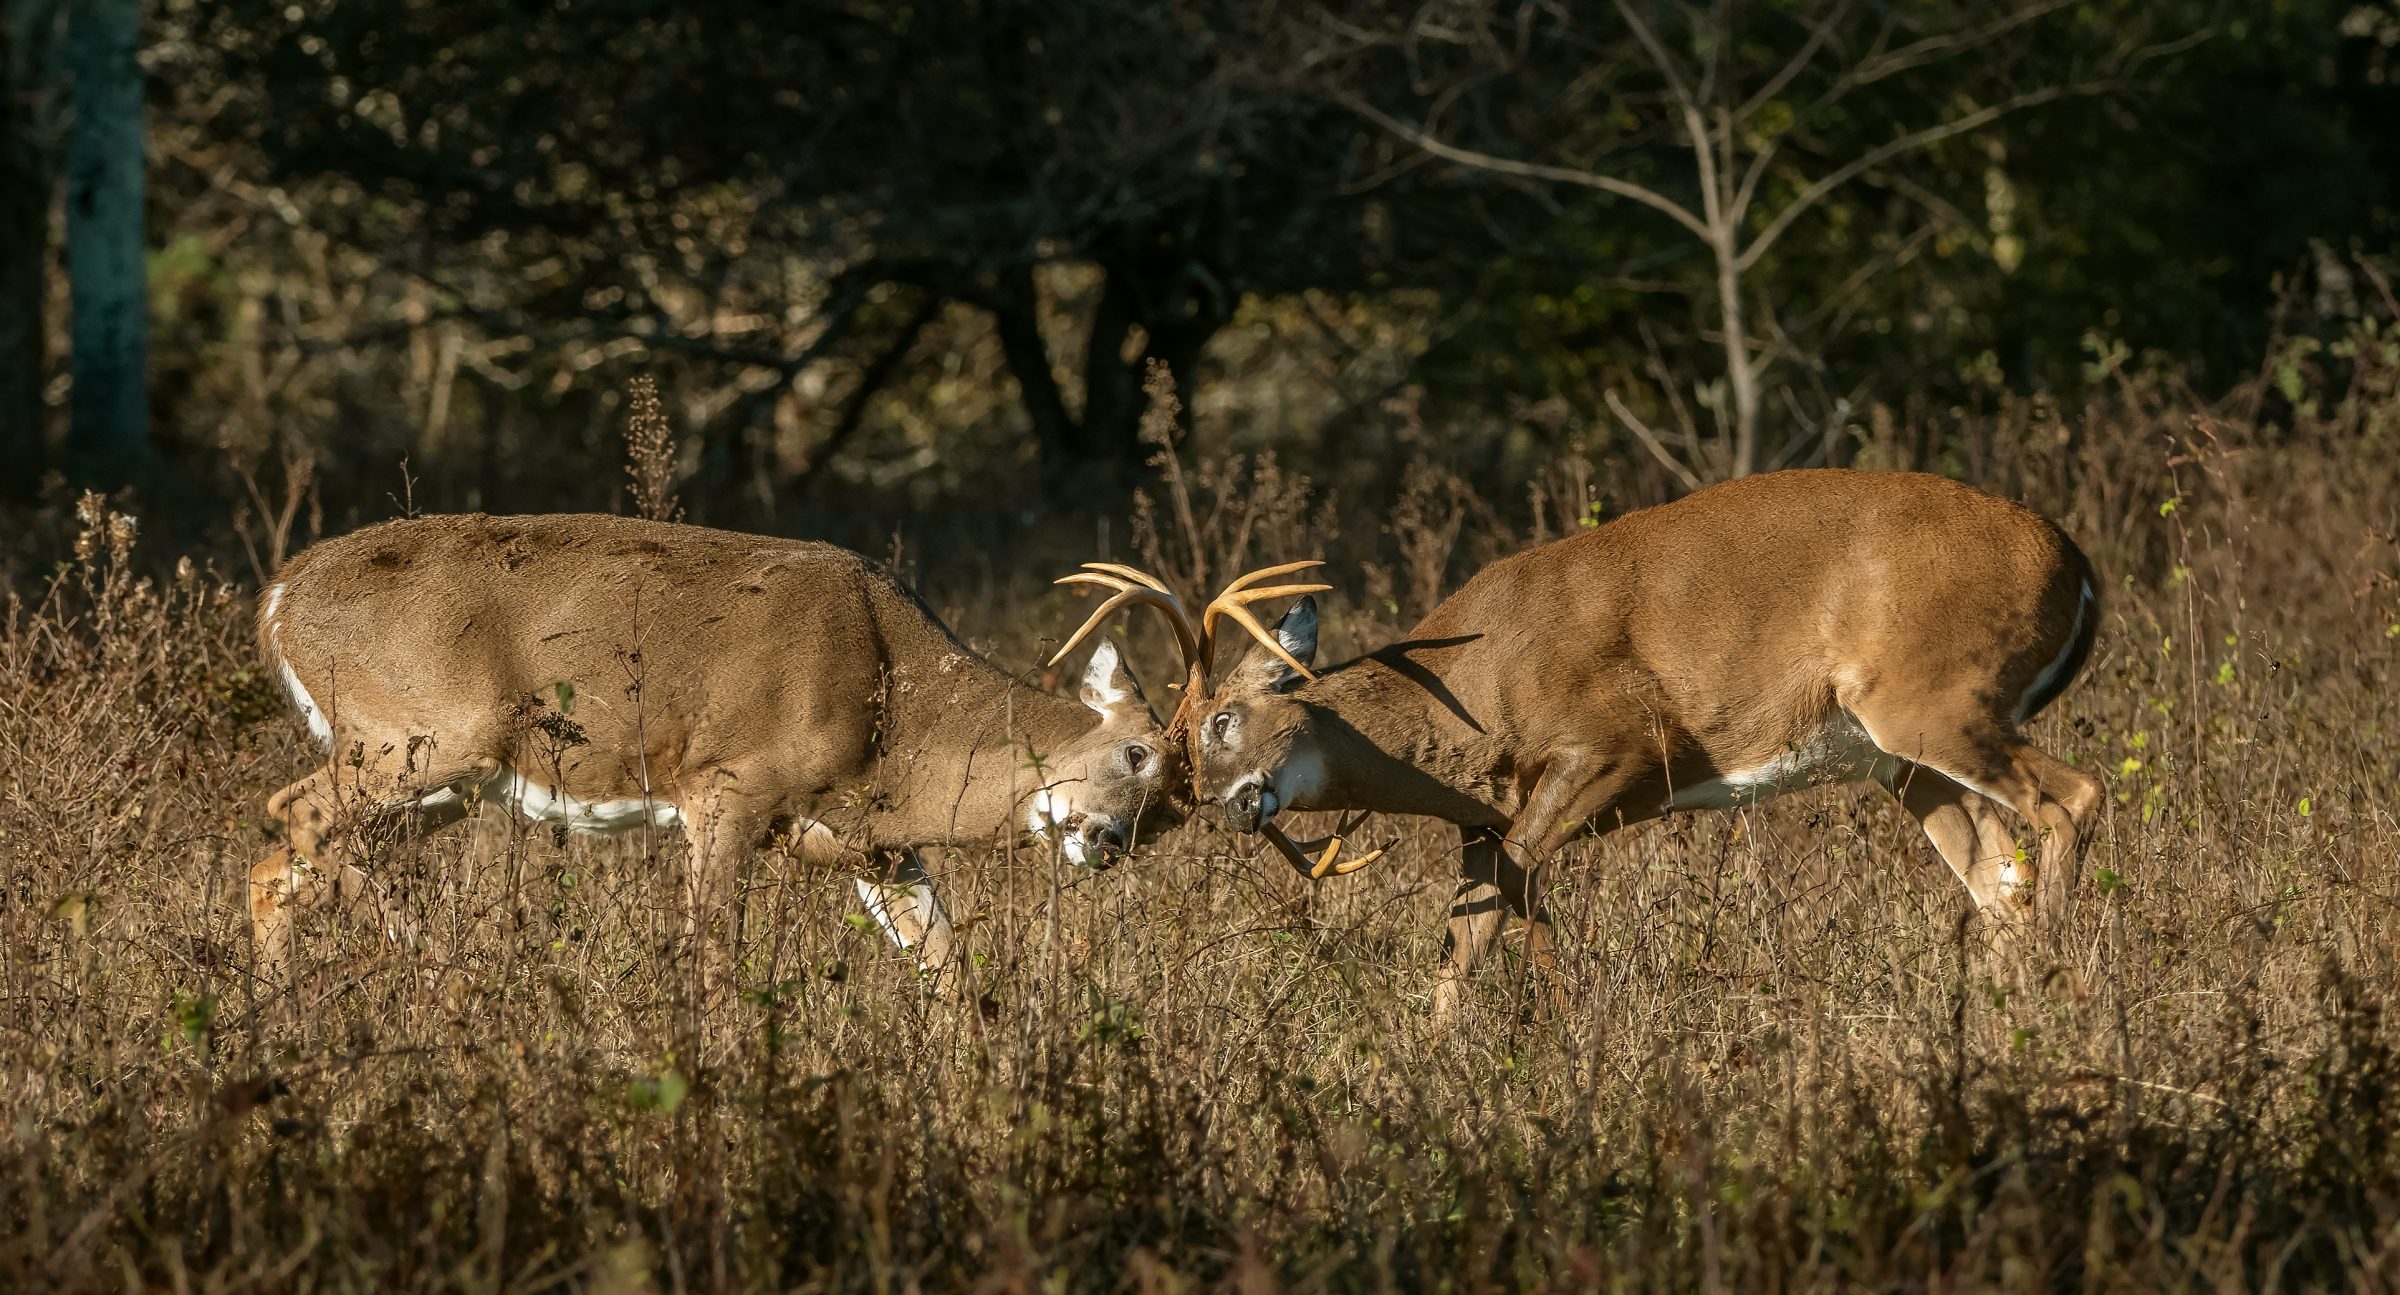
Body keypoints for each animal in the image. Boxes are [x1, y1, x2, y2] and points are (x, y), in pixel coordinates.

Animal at [255, 510, 1200, 978]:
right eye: (1137, 754)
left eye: (1172, 815)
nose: (1108, 841)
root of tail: (279, 595)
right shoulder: (729, 784)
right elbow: (713, 954)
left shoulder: (869, 840)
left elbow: (946, 965)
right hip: (419, 734)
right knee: (295, 814)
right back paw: (435, 969)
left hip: (440, 780)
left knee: (282, 863)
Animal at [1123, 470, 2102, 1026]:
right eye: (1174, 758)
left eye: (1221, 720)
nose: (1220, 805)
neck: (1472, 696)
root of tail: (2077, 562)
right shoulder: (1494, 810)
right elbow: (1474, 917)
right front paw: (1439, 1050)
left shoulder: (1620, 743)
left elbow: (1506, 887)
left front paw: (1562, 1026)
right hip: (1903, 758)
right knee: (2000, 877)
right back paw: (2009, 1018)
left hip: (1933, 694)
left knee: (2075, 797)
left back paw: (2061, 990)